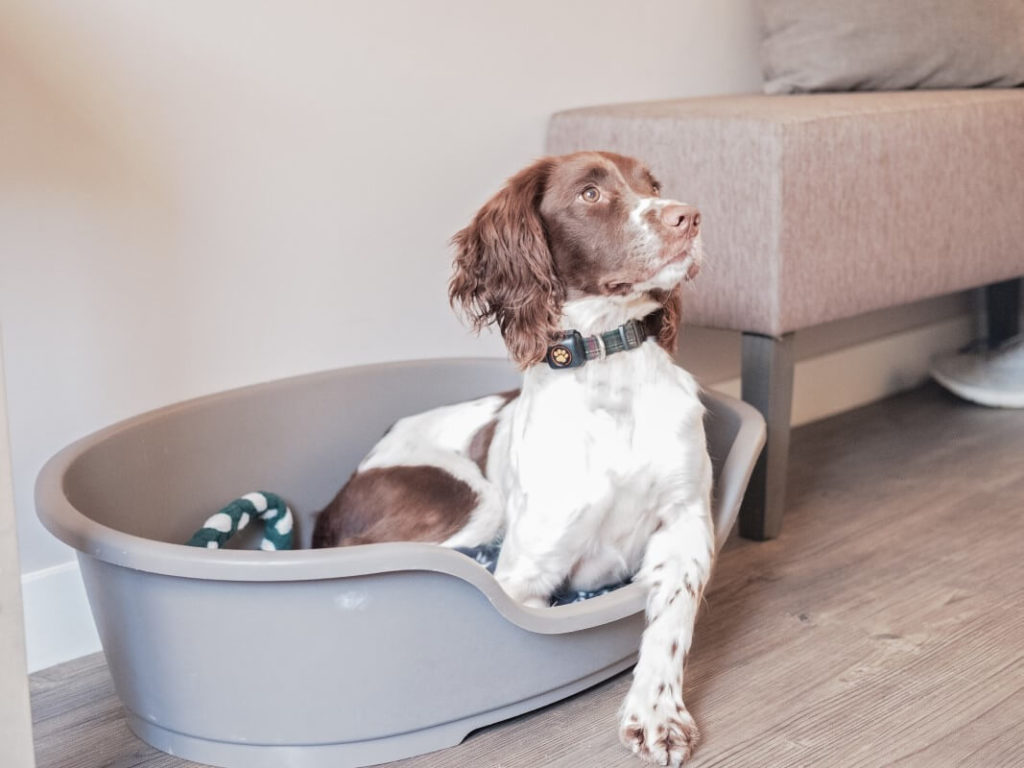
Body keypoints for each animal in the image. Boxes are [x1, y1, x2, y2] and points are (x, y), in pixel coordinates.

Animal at [311, 151, 712, 768]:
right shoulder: (528, 578)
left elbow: (671, 620)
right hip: (472, 504)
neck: (610, 373)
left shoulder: (686, 525)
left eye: (653, 185)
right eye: (590, 193)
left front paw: (657, 715)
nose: (687, 217)